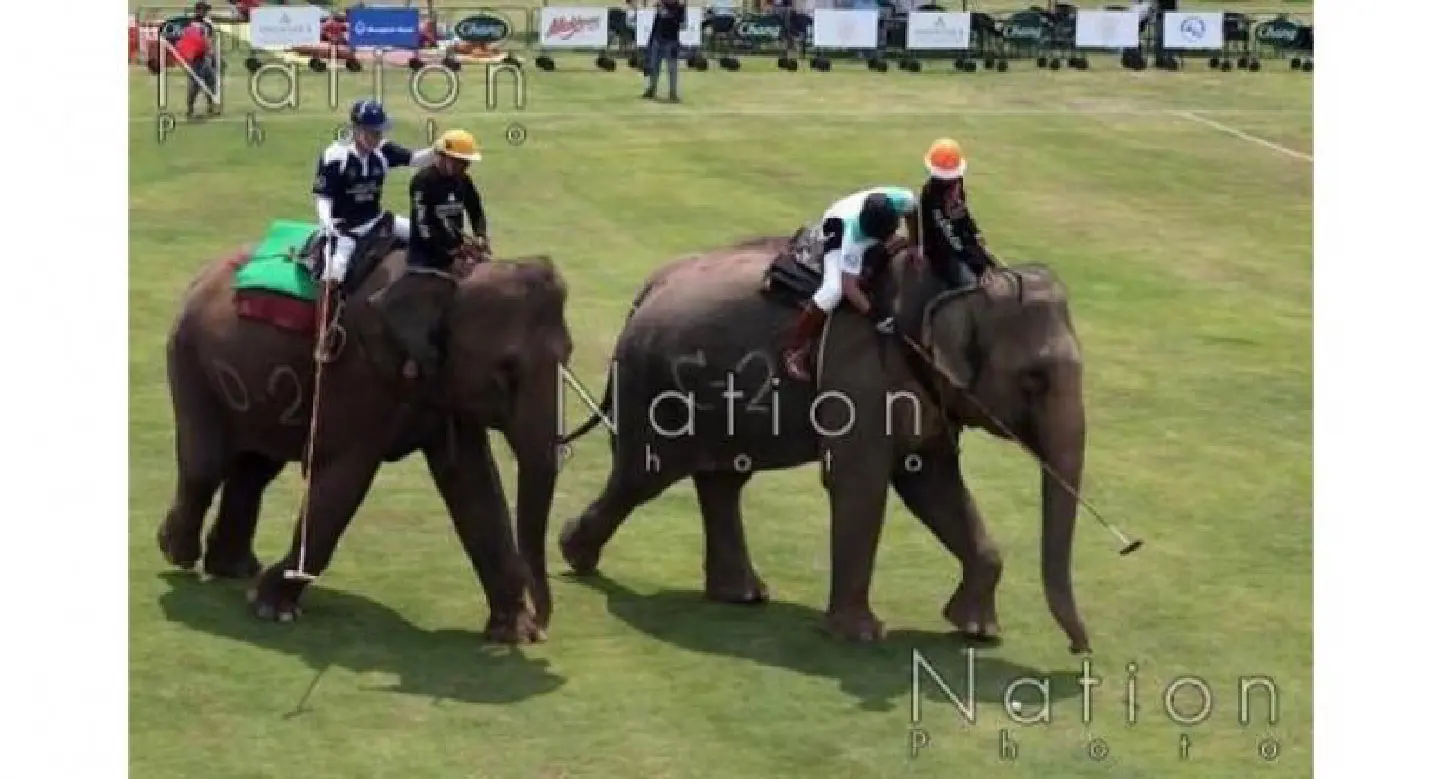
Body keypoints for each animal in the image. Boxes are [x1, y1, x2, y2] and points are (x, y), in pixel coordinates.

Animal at [157, 227, 572, 643]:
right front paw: (272, 609)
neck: (451, 274)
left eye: (568, 356)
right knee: (206, 465)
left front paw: (513, 634)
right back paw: (179, 554)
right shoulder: (358, 373)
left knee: (255, 470)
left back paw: (234, 569)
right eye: (507, 369)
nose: (543, 626)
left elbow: (475, 484)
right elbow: (343, 478)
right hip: (192, 357)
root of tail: (204, 273)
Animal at [556, 233, 1092, 653]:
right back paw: (574, 555)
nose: (1080, 649)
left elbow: (932, 483)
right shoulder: (859, 372)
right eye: (1034, 379)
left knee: (723, 479)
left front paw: (978, 631)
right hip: (657, 387)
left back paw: (741, 595)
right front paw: (862, 636)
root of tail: (650, 286)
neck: (952, 285)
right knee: (643, 474)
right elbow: (862, 483)